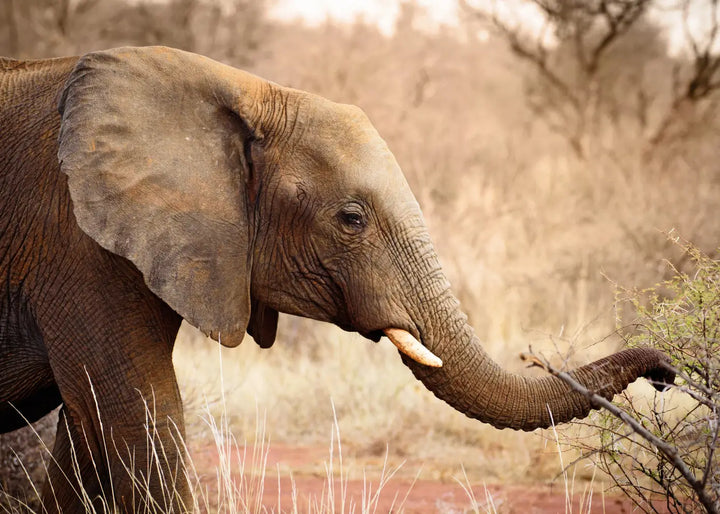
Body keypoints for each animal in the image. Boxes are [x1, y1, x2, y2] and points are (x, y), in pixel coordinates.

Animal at [0, 46, 673, 512]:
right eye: (351, 219)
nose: (666, 371)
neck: (240, 93)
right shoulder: (76, 246)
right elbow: (139, 420)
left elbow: (88, 441)